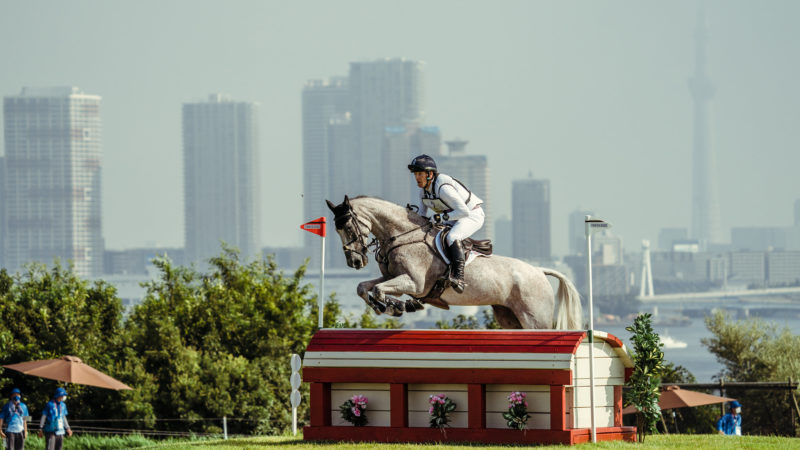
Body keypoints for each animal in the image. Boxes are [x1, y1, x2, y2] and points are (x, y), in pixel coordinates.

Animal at [324, 195, 580, 328]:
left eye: (349, 227)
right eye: (337, 230)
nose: (355, 261)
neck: (402, 236)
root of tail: (539, 270)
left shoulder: (414, 283)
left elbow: (378, 290)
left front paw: (396, 307)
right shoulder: (392, 277)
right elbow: (363, 287)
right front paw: (385, 306)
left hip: (535, 317)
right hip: (509, 317)